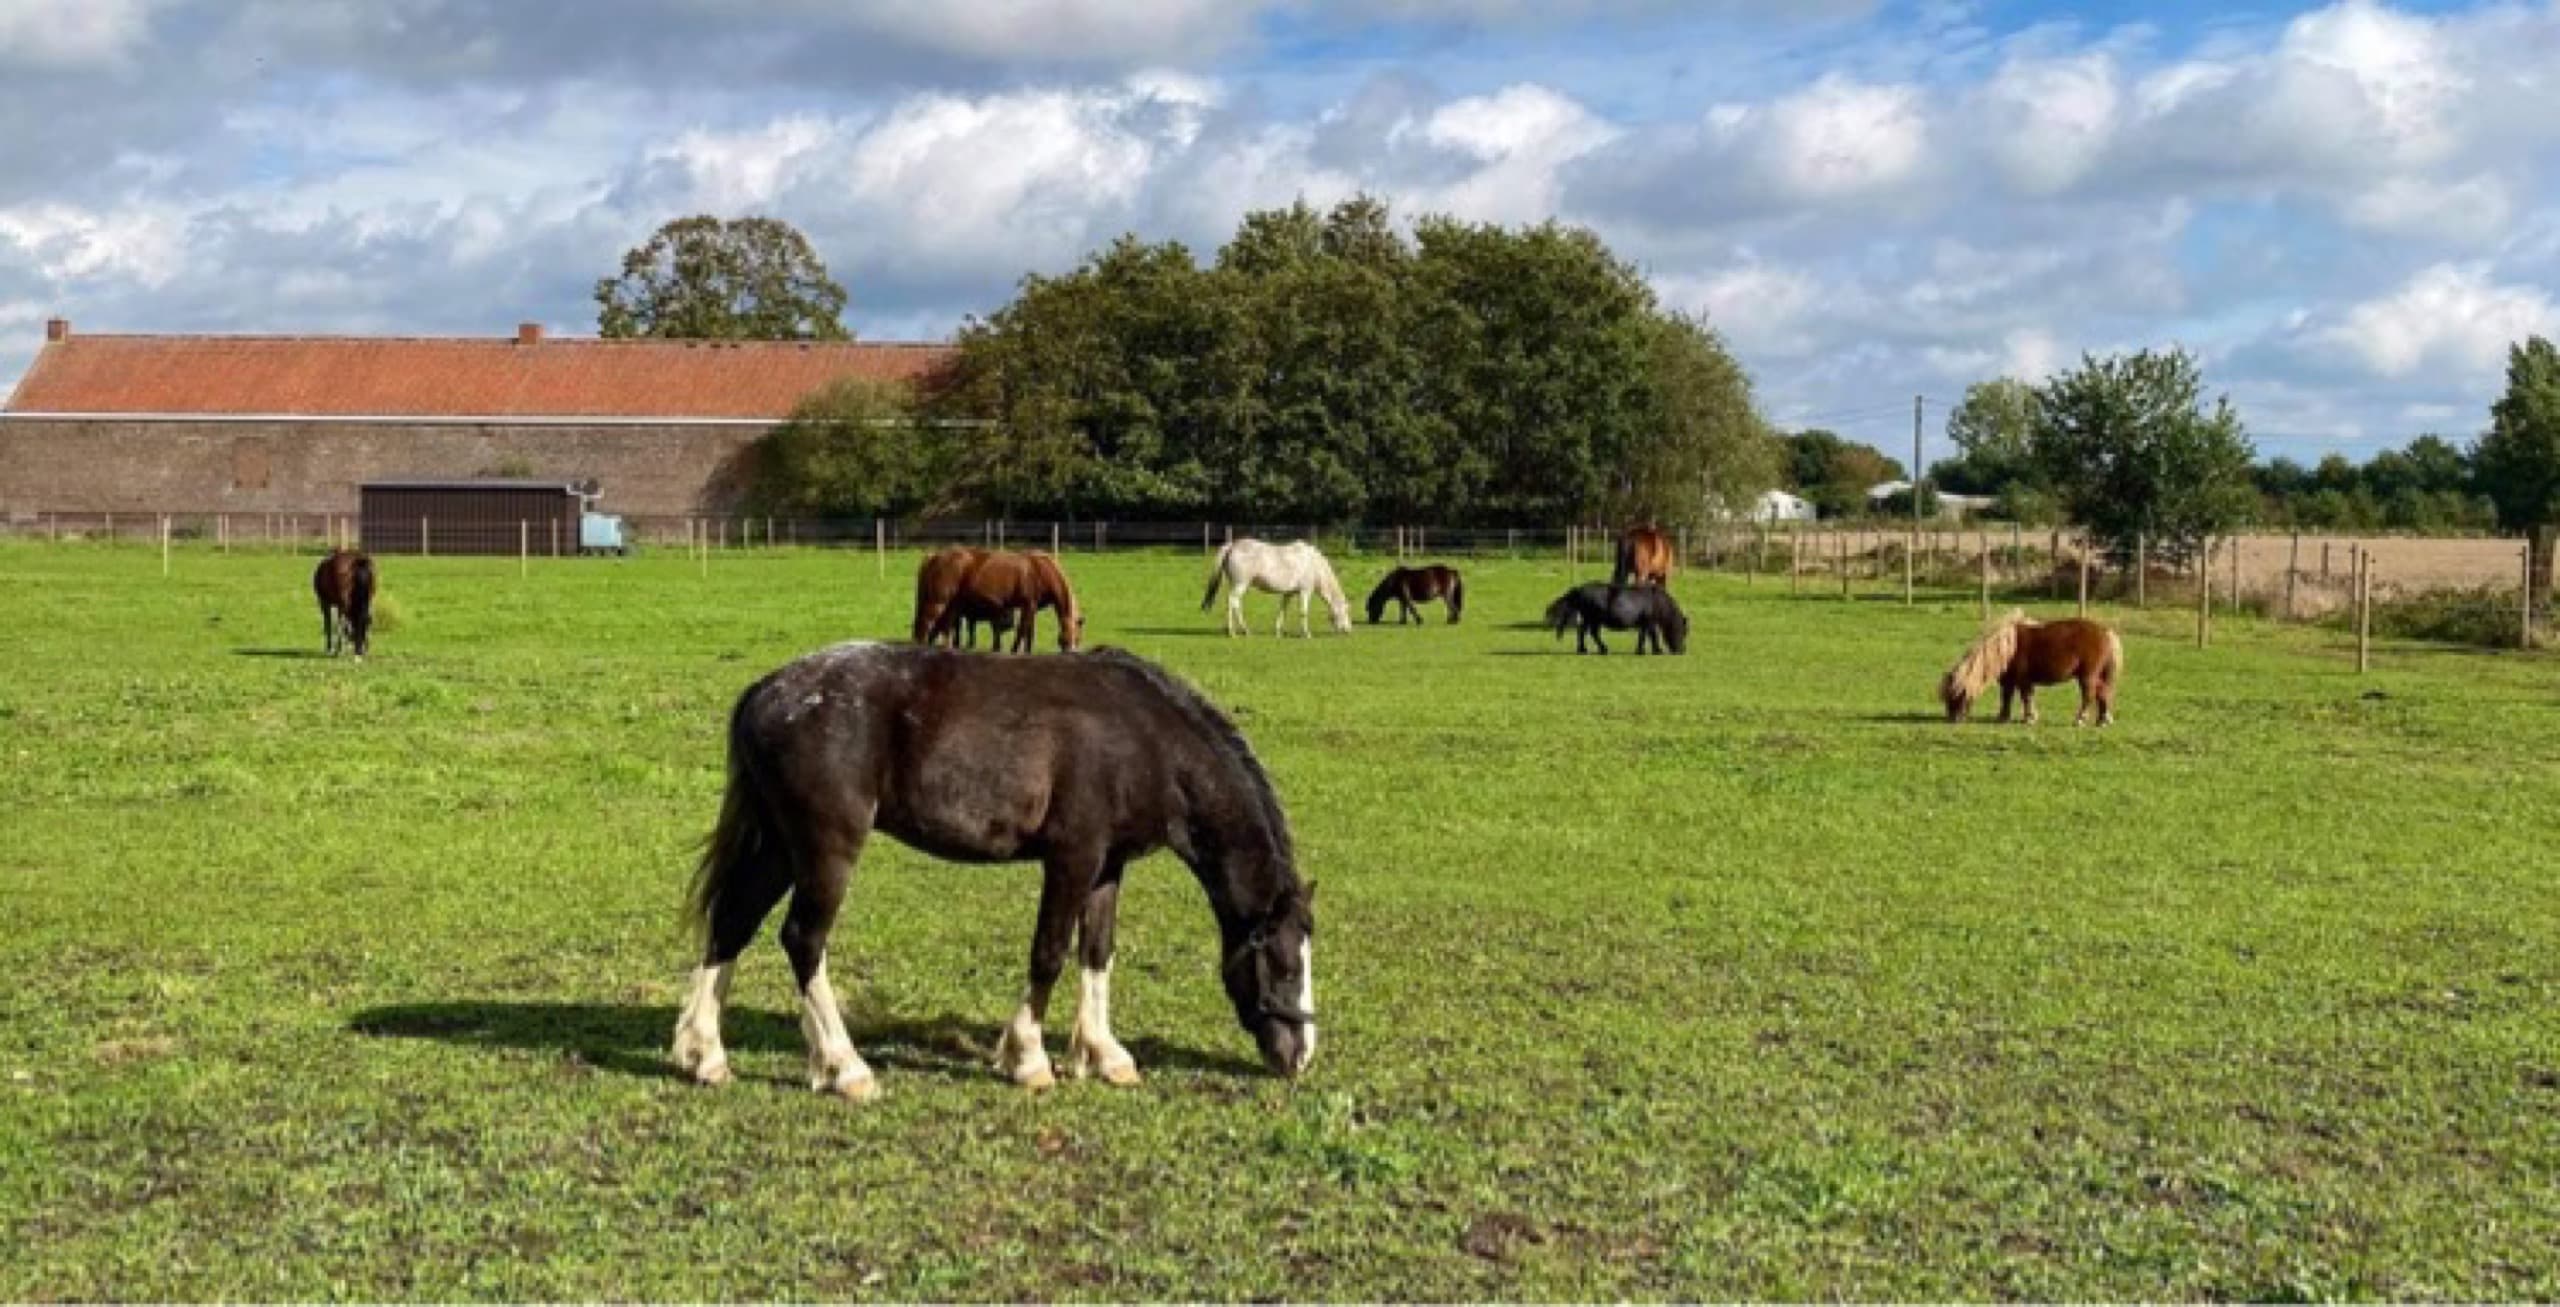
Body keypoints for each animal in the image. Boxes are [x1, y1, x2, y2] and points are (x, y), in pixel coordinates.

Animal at [672, 643, 1317, 1101]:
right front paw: (1027, 1059)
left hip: (779, 846)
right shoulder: (1072, 859)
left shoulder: (1107, 866)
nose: (1301, 1054)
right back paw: (845, 1068)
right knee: (802, 939)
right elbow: (1049, 953)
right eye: (1284, 965)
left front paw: (1104, 1055)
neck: (1145, 739)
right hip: (825, 849)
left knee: (732, 923)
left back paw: (705, 1057)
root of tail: (767, 692)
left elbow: (1097, 954)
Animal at [930, 550, 1085, 654]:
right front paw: (1014, 650)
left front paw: (1028, 652)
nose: (1071, 653)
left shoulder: (1033, 608)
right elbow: (1022, 630)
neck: (1042, 570)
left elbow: (1030, 632)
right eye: (1063, 639)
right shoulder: (1028, 605)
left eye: (1077, 639)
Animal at [1201, 538, 1352, 637]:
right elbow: (1303, 612)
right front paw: (1307, 634)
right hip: (1240, 584)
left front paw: (1278, 632)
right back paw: (1235, 631)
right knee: (1232, 602)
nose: (1348, 630)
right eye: (1345, 611)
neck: (1313, 564)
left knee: (1234, 604)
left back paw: (1239, 630)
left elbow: (1282, 610)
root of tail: (1232, 546)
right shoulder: (1305, 591)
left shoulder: (1288, 593)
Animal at [1544, 582, 1688, 655]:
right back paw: (1598, 649)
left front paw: (1640, 650)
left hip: (1591, 619)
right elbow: (1652, 636)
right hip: (1593, 619)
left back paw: (1584, 649)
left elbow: (1642, 636)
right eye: (1682, 631)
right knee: (1590, 633)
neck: (1656, 601)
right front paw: (1657, 650)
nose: (1681, 651)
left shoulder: (1644, 624)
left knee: (1584, 632)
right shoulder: (1650, 622)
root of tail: (1579, 590)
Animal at [1938, 609, 2124, 726]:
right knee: (2103, 693)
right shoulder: (2010, 681)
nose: (1952, 720)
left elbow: (2025, 698)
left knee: (2089, 696)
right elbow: (2007, 697)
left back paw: (2080, 720)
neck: (2008, 648)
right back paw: (2102, 720)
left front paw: (2029, 718)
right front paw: (2004, 718)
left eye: (1956, 696)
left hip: (2087, 676)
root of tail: (2106, 632)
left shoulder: (2023, 680)